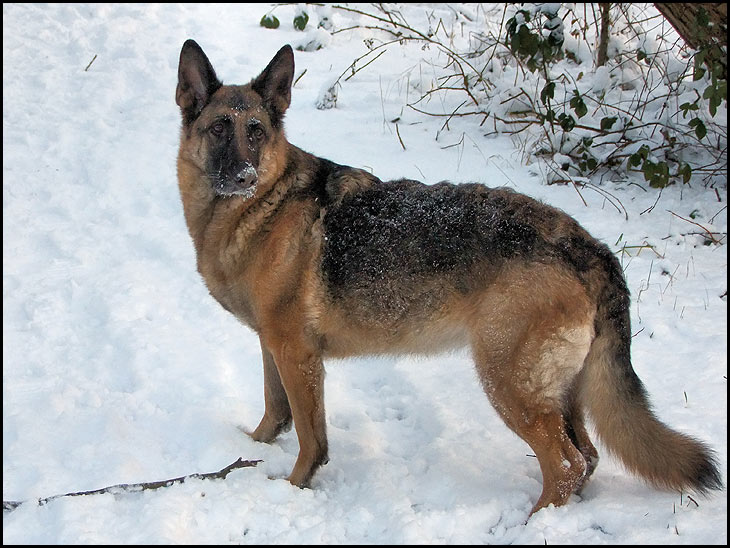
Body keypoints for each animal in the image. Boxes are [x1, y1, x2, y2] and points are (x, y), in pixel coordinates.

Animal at [173, 40, 720, 516]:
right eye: (220, 129)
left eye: (257, 131)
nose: (243, 177)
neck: (260, 207)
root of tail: (588, 246)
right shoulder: (273, 345)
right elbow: (274, 411)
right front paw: (250, 448)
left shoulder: (297, 353)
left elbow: (310, 438)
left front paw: (292, 488)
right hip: (560, 392)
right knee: (585, 458)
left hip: (509, 385)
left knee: (565, 465)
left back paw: (533, 524)